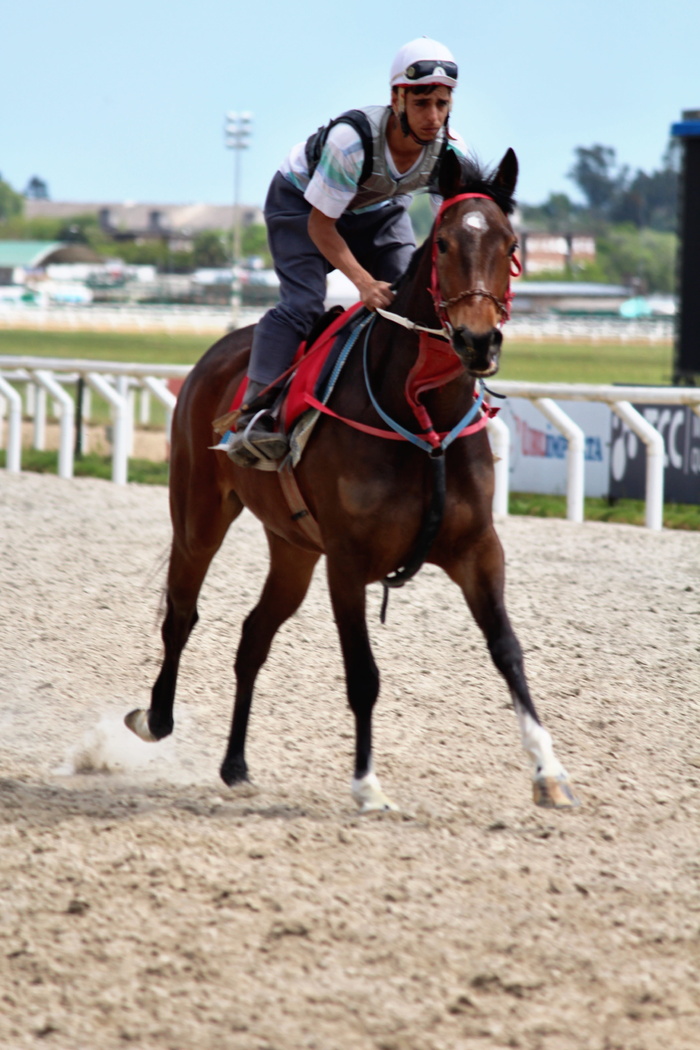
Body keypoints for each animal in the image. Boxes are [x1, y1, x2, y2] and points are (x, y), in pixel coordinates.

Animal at [125, 148, 579, 814]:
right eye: (444, 243)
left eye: (511, 243)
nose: (477, 340)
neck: (422, 417)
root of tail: (218, 353)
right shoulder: (347, 559)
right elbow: (363, 674)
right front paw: (367, 783)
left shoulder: (477, 548)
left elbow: (508, 651)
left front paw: (548, 771)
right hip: (200, 514)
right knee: (181, 614)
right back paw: (154, 718)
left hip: (292, 547)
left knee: (253, 635)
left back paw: (235, 763)